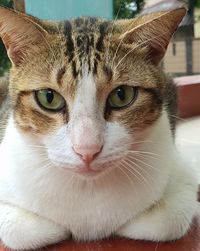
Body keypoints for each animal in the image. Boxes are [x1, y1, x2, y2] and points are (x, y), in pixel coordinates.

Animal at [0, 5, 198, 251]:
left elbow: (169, 222)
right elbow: (23, 231)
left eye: (122, 95)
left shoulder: (184, 173)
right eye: (49, 98)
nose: (87, 150)